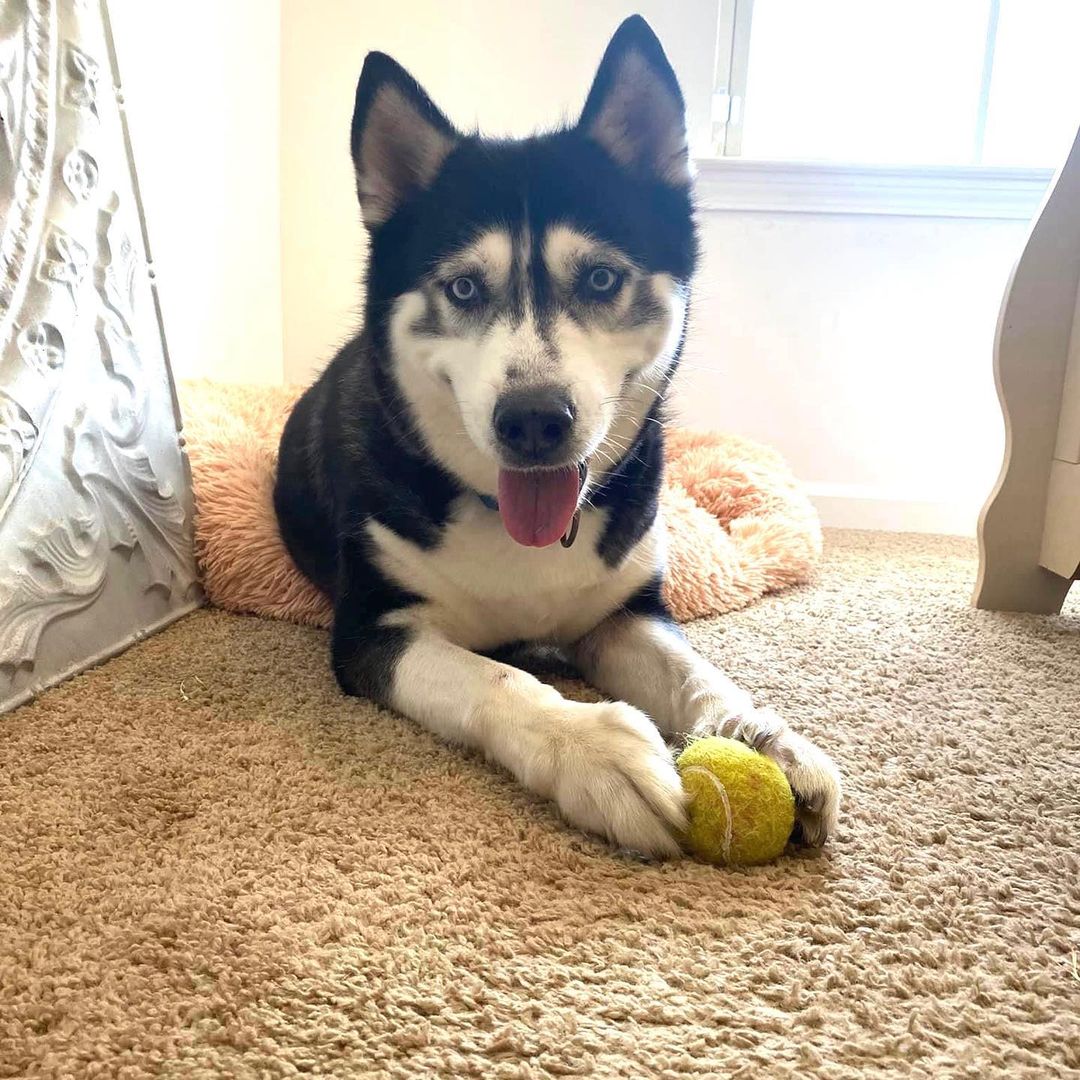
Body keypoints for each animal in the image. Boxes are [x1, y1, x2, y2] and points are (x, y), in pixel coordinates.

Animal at [274, 16, 838, 855]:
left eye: (601, 278)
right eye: (463, 287)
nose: (535, 419)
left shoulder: (623, 612)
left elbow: (695, 674)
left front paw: (764, 739)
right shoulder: (372, 632)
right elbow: (496, 677)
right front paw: (595, 751)